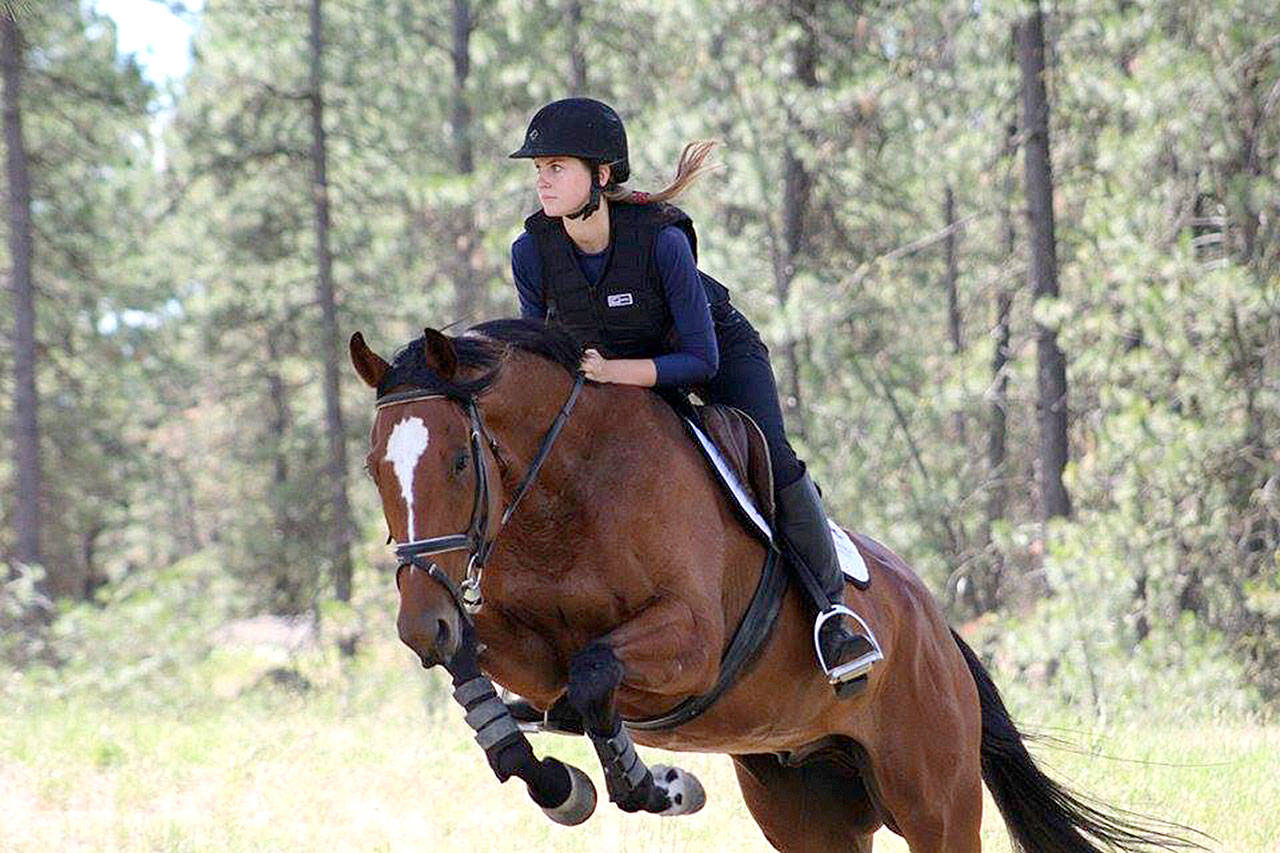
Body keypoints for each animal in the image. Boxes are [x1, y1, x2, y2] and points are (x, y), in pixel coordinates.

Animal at [349, 319, 1196, 852]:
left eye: (459, 460)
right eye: (373, 466)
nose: (416, 624)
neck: (565, 490)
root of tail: (939, 629)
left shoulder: (689, 642)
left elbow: (594, 676)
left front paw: (656, 784)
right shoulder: (522, 645)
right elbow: (491, 666)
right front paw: (557, 779)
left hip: (936, 801)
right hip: (810, 811)